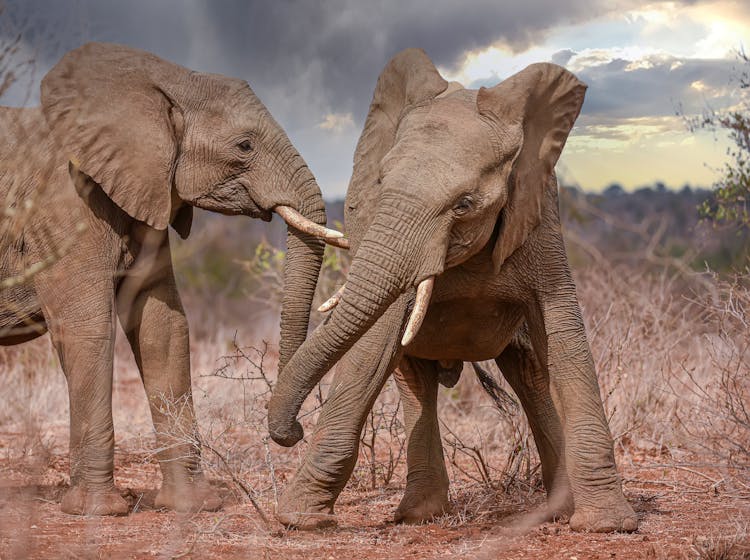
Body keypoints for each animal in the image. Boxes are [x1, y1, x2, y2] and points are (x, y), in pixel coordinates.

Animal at [0, 42, 346, 516]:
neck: (166, 79)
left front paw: (193, 506)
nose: (293, 433)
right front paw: (99, 512)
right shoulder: (64, 211)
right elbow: (88, 330)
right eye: (244, 145)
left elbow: (162, 327)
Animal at [270, 49, 640, 532]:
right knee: (414, 376)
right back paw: (419, 516)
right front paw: (299, 520)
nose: (290, 431)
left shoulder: (540, 215)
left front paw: (607, 525)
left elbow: (565, 336)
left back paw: (556, 511)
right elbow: (374, 345)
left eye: (464, 205)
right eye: (381, 183)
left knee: (531, 375)